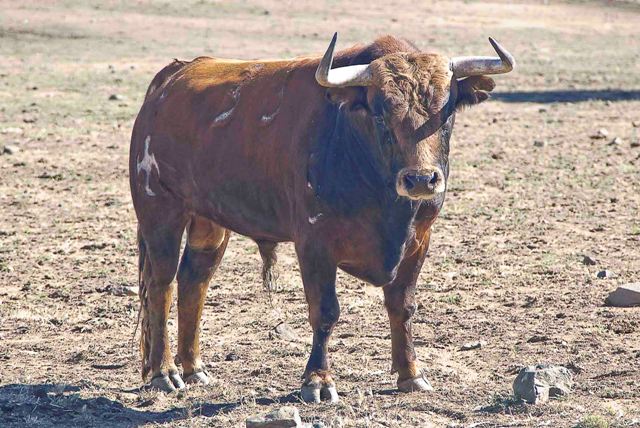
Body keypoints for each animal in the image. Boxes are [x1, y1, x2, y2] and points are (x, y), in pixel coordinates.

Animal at [129, 33, 516, 402]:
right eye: (380, 114)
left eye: (446, 113)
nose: (420, 180)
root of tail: (173, 75)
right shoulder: (315, 243)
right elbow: (325, 311)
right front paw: (317, 380)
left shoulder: (419, 240)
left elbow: (402, 306)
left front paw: (411, 374)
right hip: (160, 213)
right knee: (161, 285)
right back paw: (164, 372)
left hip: (209, 224)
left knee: (193, 281)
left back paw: (194, 367)